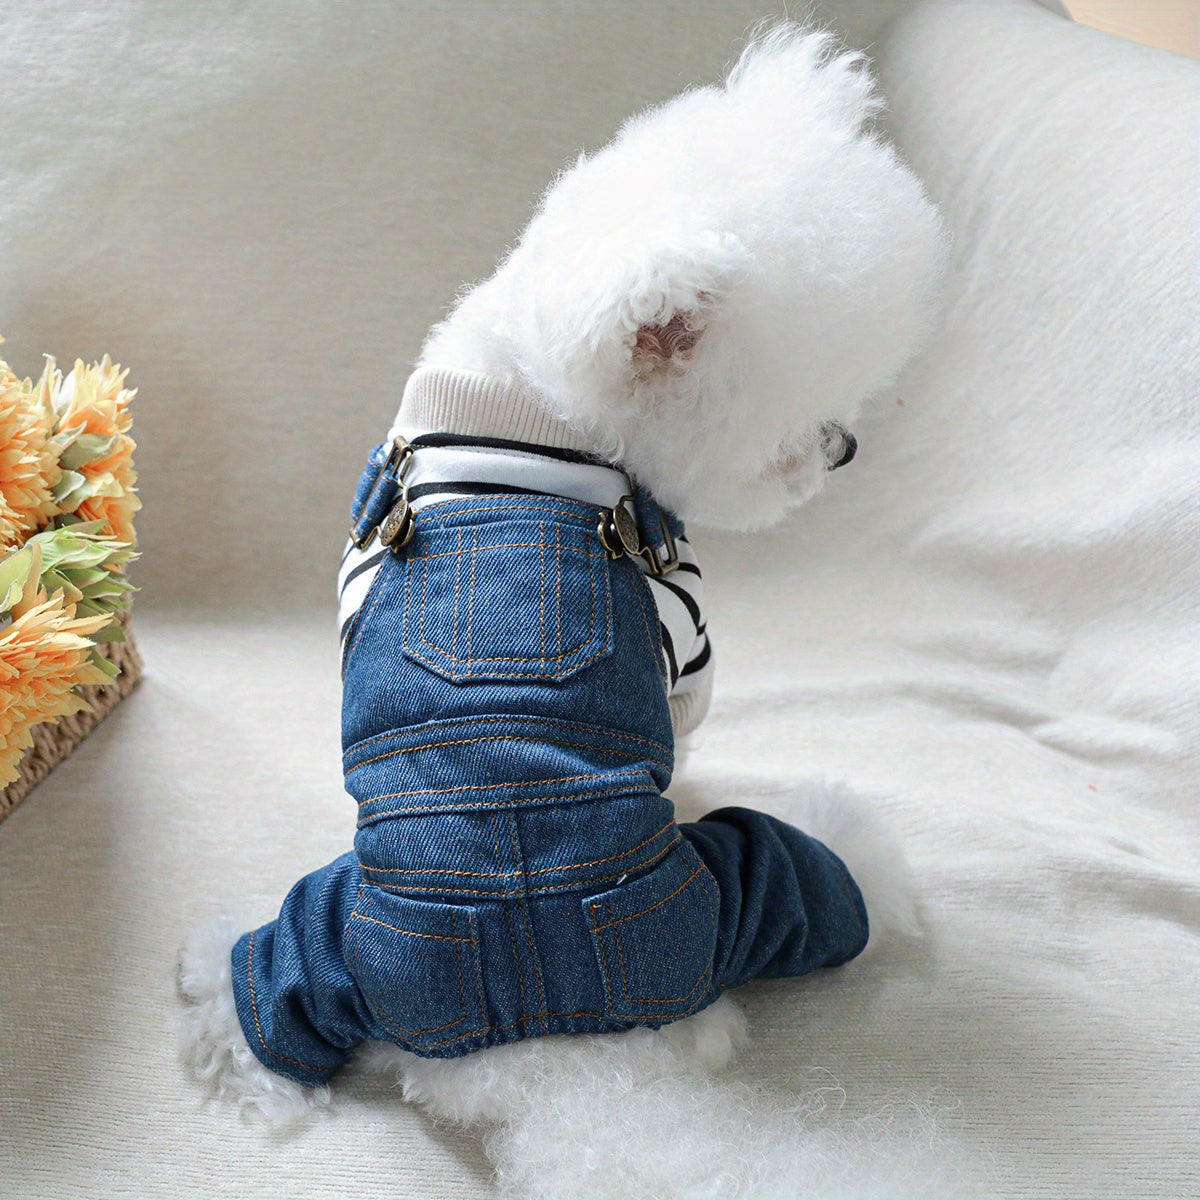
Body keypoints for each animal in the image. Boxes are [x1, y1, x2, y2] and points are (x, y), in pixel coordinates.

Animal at [180, 21, 945, 1200]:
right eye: (787, 436)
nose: (844, 449)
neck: (519, 407)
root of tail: (541, 1060)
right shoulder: (683, 638)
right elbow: (686, 723)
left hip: (346, 932)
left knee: (283, 973)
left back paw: (227, 1023)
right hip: (717, 907)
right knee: (800, 876)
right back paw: (860, 851)